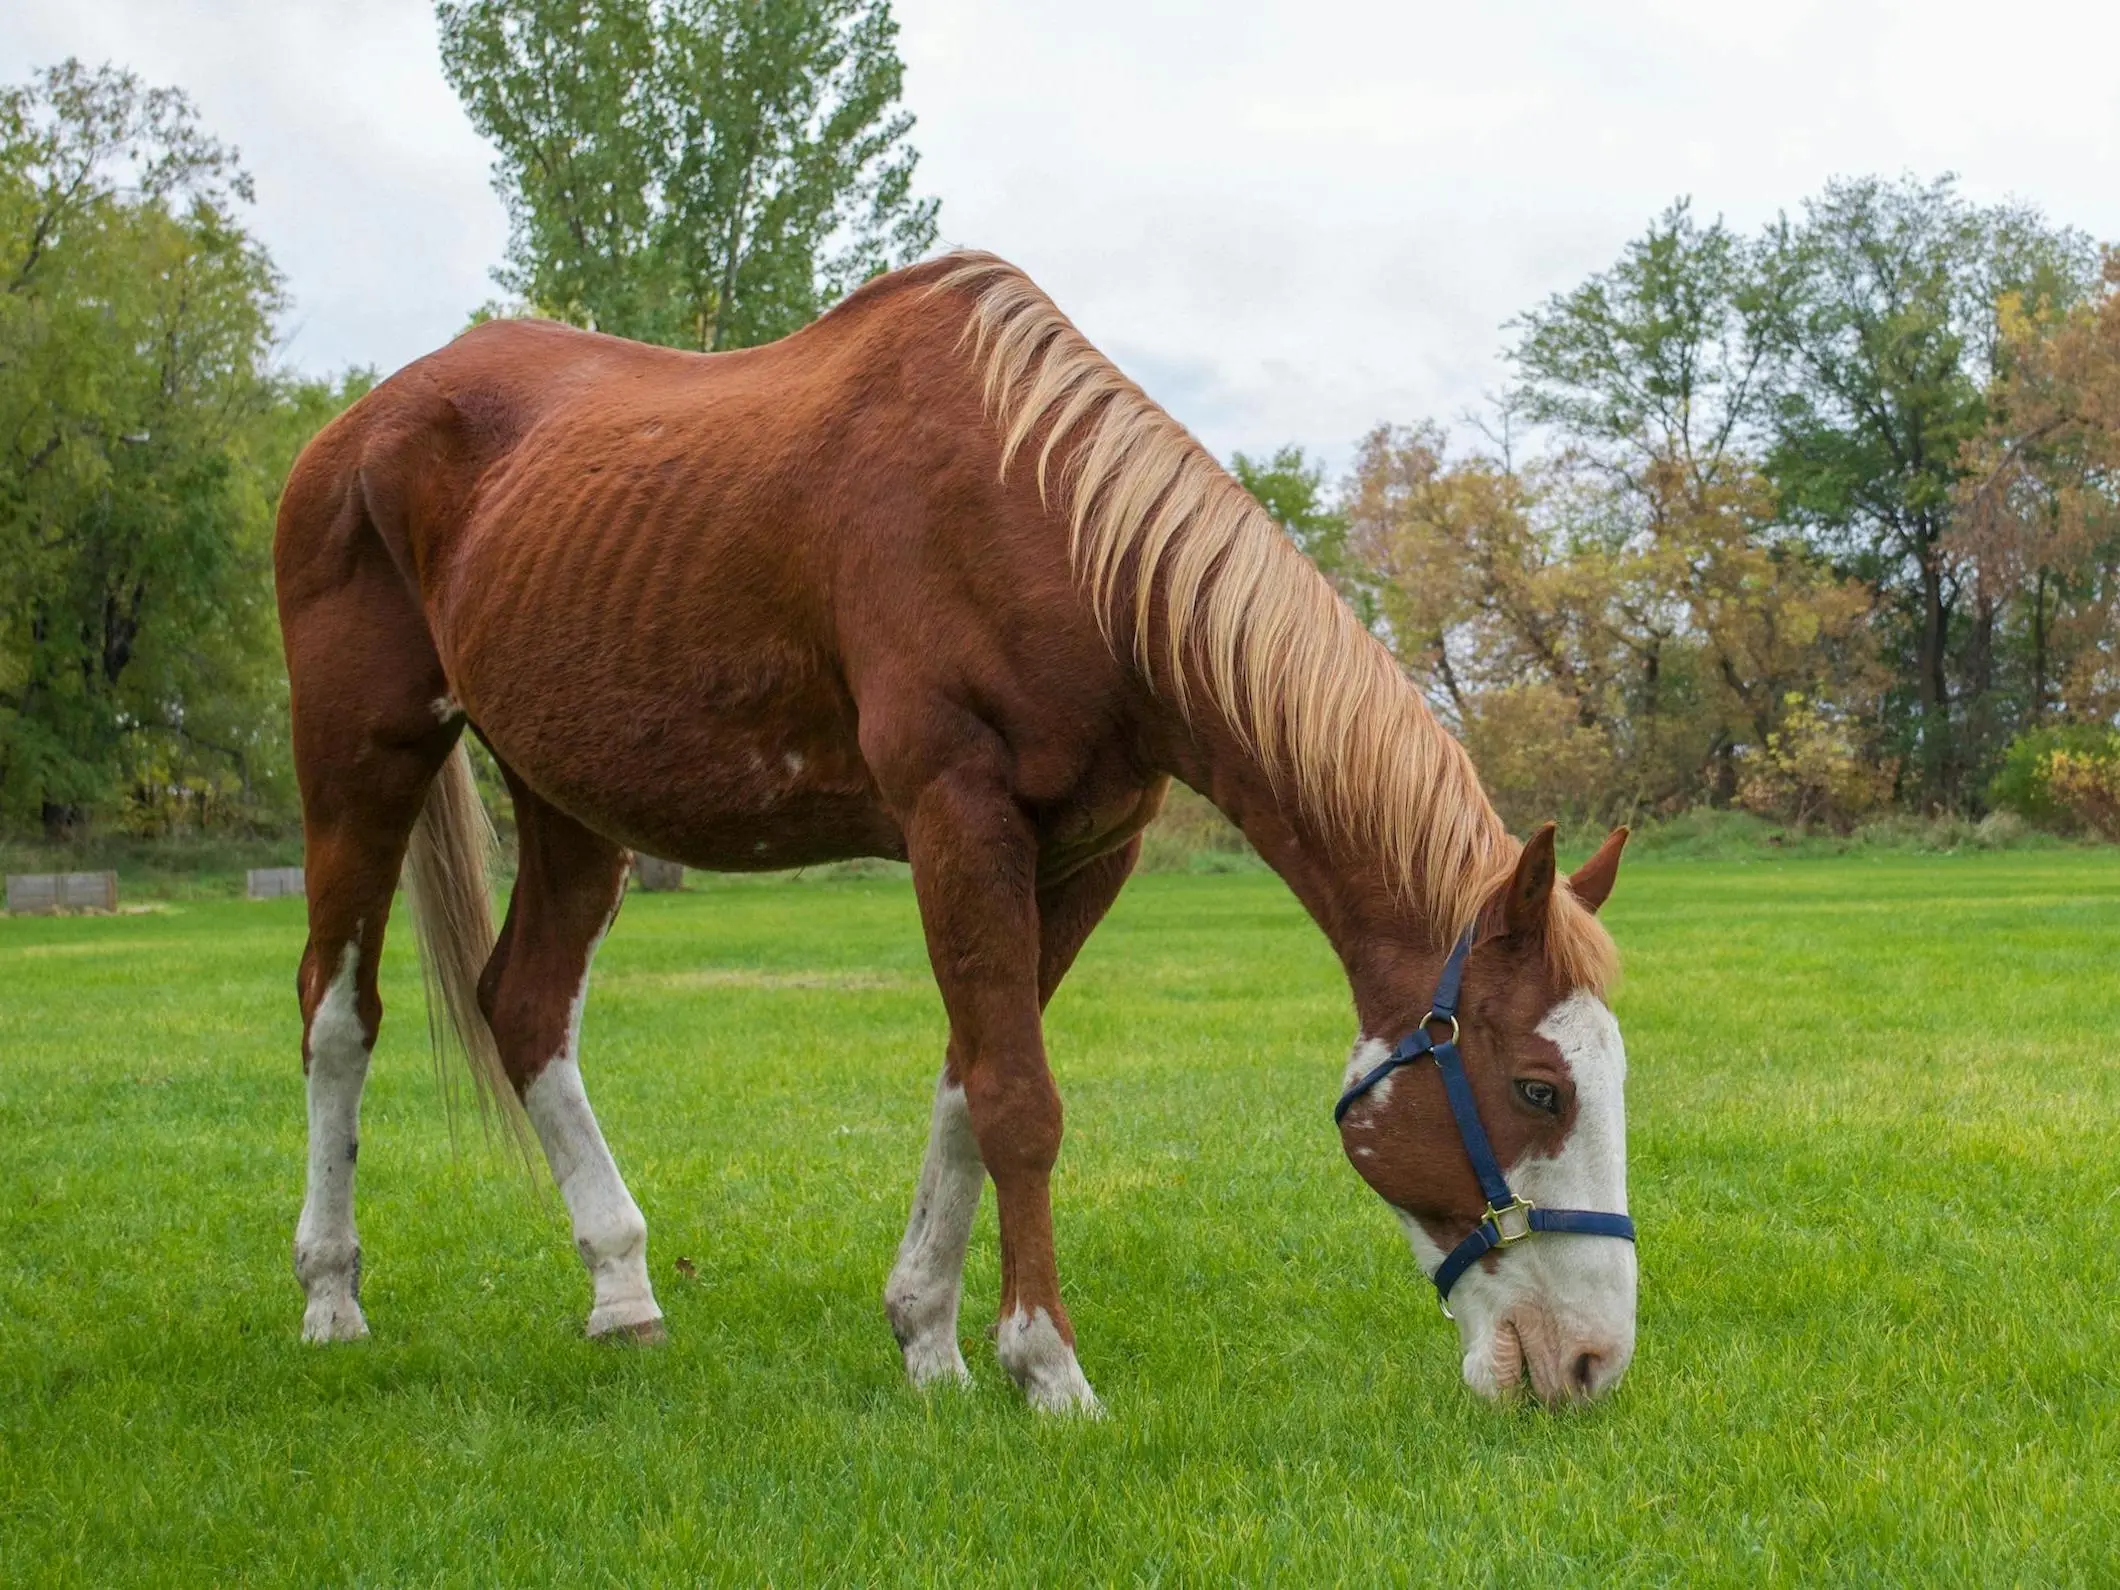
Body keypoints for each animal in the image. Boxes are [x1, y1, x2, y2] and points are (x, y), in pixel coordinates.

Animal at [277, 252, 1636, 1416]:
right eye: (1538, 1087)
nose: (1587, 1364)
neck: (1050, 526)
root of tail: (358, 424)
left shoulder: (1082, 856)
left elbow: (966, 1086)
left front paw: (927, 1338)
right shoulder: (956, 817)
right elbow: (1017, 1100)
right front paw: (1047, 1368)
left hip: (569, 800)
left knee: (527, 1008)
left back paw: (622, 1293)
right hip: (360, 761)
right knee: (337, 1013)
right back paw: (331, 1297)